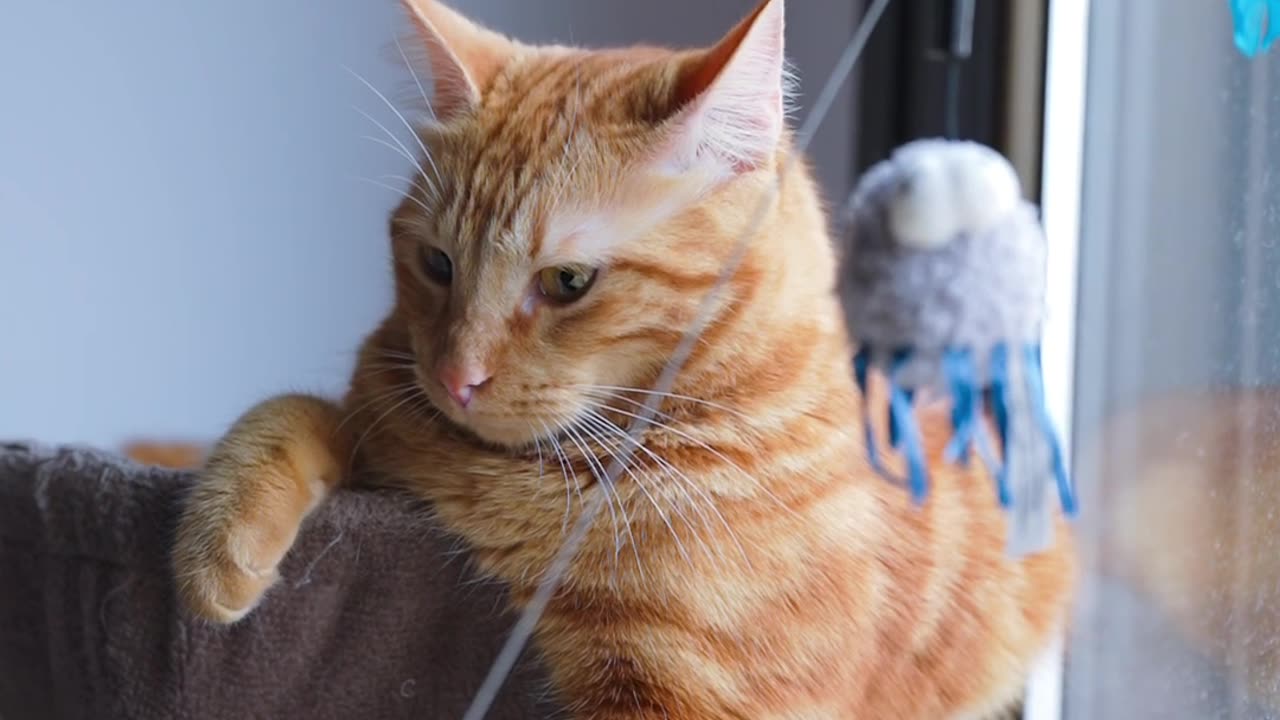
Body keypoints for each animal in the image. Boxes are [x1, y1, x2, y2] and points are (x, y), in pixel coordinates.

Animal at [167, 2, 1070, 712]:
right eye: (438, 264)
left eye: (567, 281)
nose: (457, 380)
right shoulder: (384, 427)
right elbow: (291, 414)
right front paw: (218, 547)